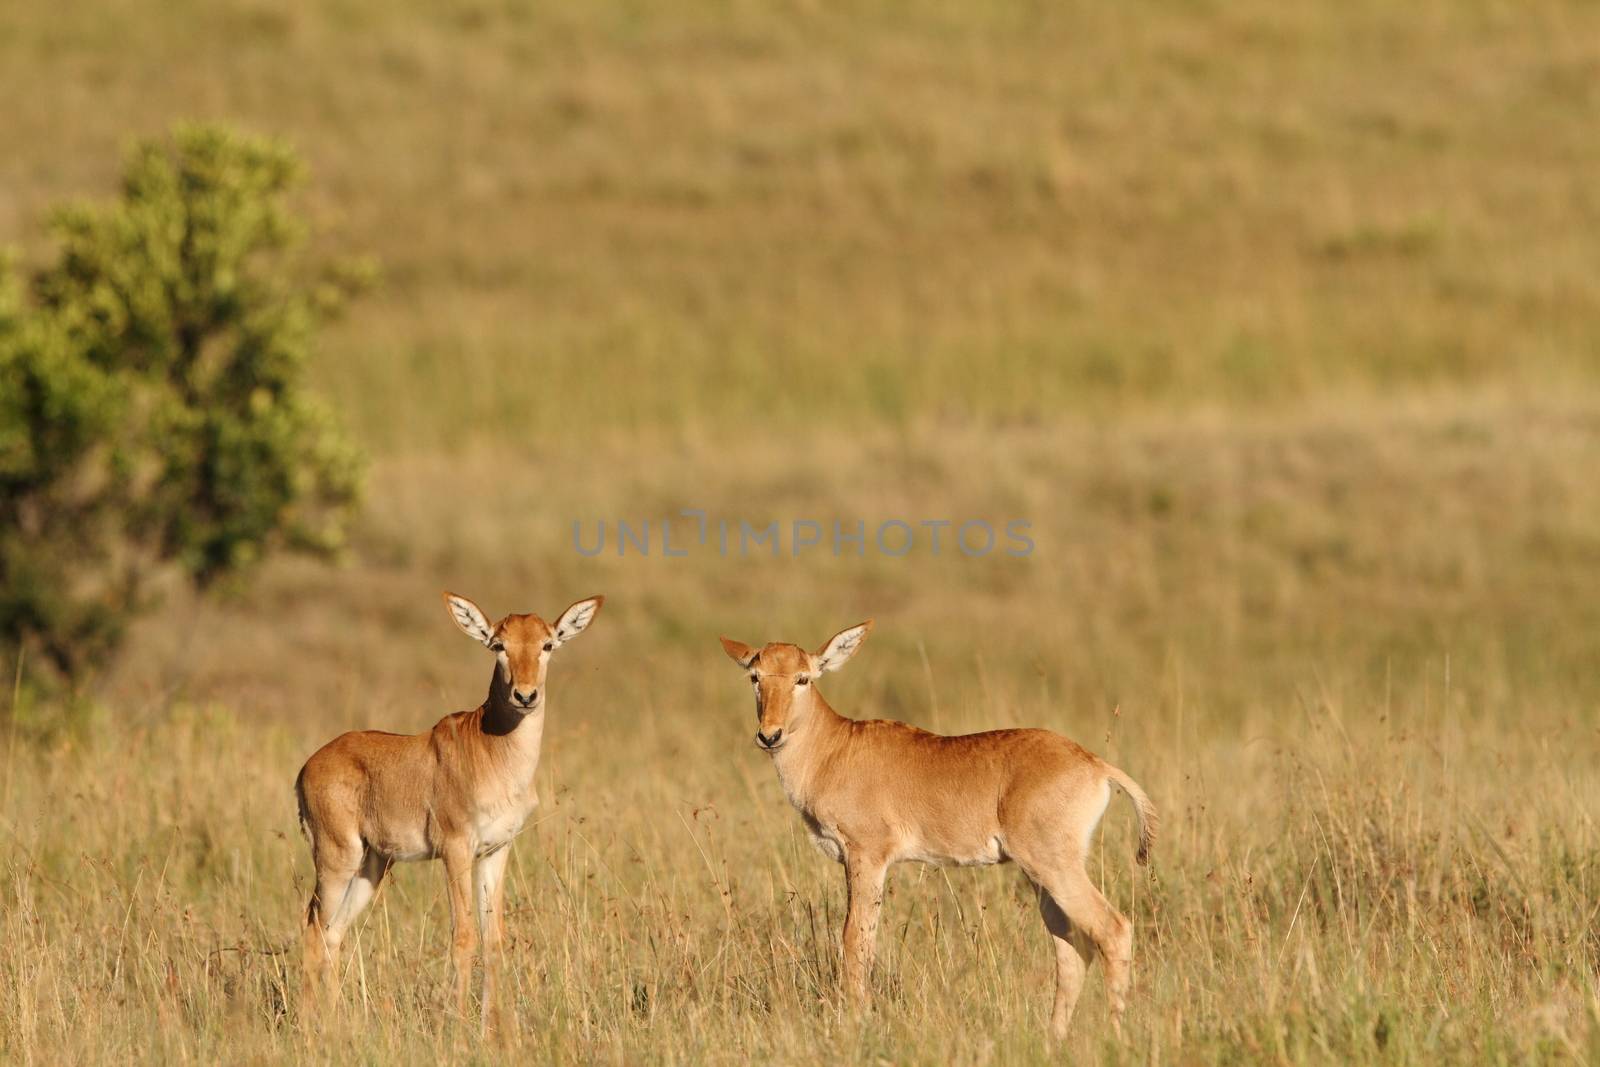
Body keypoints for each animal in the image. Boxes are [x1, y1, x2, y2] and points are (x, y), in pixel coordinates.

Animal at [297, 591, 601, 1023]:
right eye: (498, 645)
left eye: (547, 644)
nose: (525, 696)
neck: (489, 746)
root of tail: (308, 766)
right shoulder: (455, 849)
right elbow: (463, 935)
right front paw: (459, 1025)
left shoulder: (495, 851)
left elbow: (493, 938)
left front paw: (491, 1027)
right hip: (337, 859)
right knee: (313, 928)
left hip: (372, 866)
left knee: (334, 933)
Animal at [720, 620, 1158, 1036]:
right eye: (755, 675)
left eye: (803, 678)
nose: (770, 735)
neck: (836, 746)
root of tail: (1095, 765)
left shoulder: (867, 856)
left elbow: (854, 939)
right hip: (1040, 876)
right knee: (1070, 947)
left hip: (1053, 865)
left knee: (1112, 928)